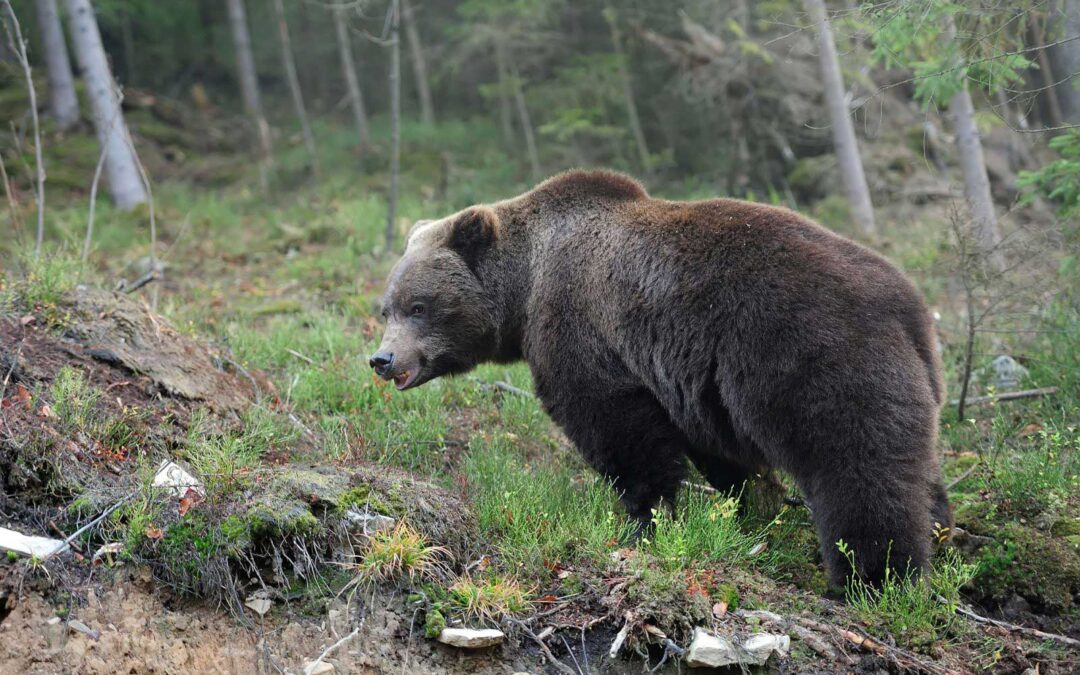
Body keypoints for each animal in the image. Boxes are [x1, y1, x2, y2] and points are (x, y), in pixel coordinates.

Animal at [373, 170, 954, 587]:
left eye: (420, 305)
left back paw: (873, 577)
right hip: (904, 376)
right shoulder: (694, 383)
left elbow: (616, 426)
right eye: (388, 307)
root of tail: (910, 304)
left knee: (856, 468)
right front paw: (743, 507)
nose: (381, 359)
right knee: (915, 465)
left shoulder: (582, 328)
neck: (527, 285)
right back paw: (944, 545)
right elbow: (716, 451)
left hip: (812, 353)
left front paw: (643, 518)